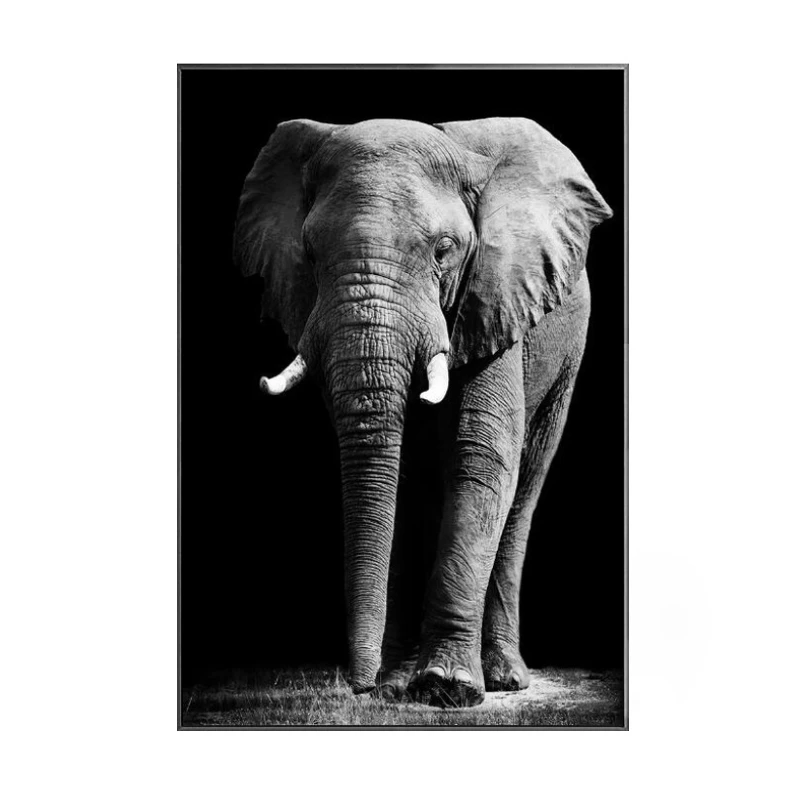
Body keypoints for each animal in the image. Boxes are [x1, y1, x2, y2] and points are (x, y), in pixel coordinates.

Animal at [234, 117, 612, 707]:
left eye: (444, 250)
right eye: (309, 253)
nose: (360, 688)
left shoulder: (496, 296)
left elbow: (480, 460)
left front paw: (446, 688)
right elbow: (402, 475)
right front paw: (398, 686)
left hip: (568, 354)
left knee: (524, 488)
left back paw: (502, 679)